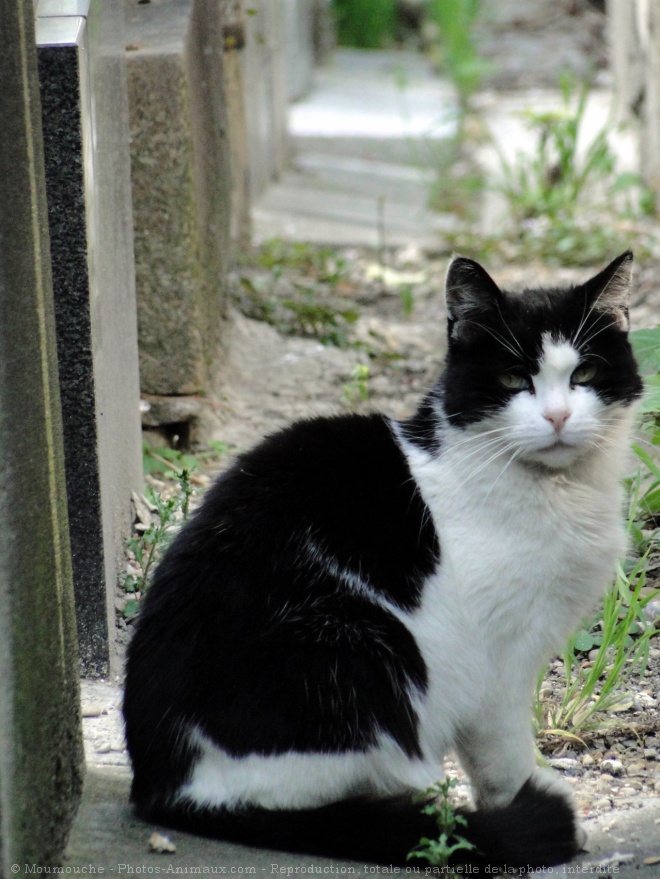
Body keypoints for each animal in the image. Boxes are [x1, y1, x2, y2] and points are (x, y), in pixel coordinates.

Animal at [124, 251, 644, 868]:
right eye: (514, 380)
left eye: (583, 375)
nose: (560, 417)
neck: (555, 491)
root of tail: (165, 788)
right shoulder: (495, 660)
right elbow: (504, 753)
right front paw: (524, 806)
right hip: (365, 645)